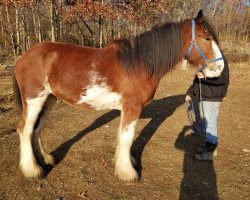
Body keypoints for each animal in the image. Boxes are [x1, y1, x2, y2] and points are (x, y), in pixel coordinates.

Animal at [13, 10, 225, 180]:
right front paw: (127, 172)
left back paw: (45, 159)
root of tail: (23, 57)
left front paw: (127, 162)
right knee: (25, 129)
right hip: (34, 99)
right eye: (207, 38)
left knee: (36, 129)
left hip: (49, 99)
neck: (139, 63)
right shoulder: (132, 107)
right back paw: (32, 170)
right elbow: (127, 137)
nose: (220, 68)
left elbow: (125, 138)